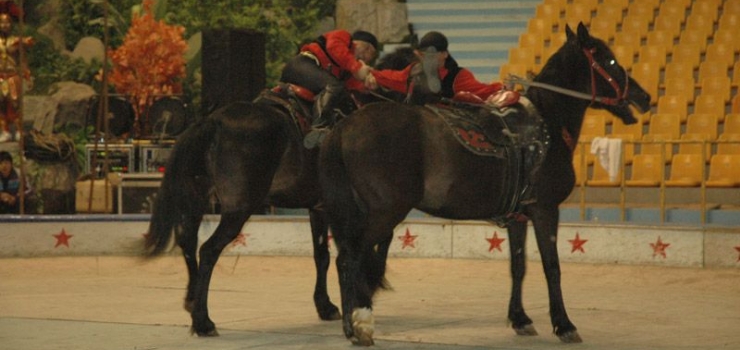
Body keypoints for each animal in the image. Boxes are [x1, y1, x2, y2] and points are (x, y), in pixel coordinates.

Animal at [320, 23, 652, 346]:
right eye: (610, 60)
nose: (645, 97)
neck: (547, 126)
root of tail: (344, 126)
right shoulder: (545, 210)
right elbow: (552, 267)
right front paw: (564, 324)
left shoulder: (519, 216)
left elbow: (518, 266)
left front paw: (520, 319)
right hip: (383, 214)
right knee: (352, 258)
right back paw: (360, 324)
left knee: (345, 260)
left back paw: (350, 324)